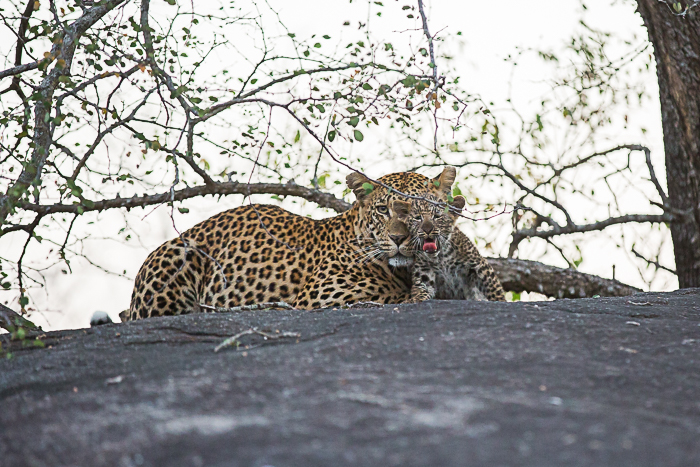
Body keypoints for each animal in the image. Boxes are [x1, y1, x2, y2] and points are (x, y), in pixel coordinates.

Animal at [123, 168, 459, 320]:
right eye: (383, 210)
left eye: (422, 211)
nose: (399, 239)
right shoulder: (321, 299)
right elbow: (393, 297)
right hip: (176, 256)